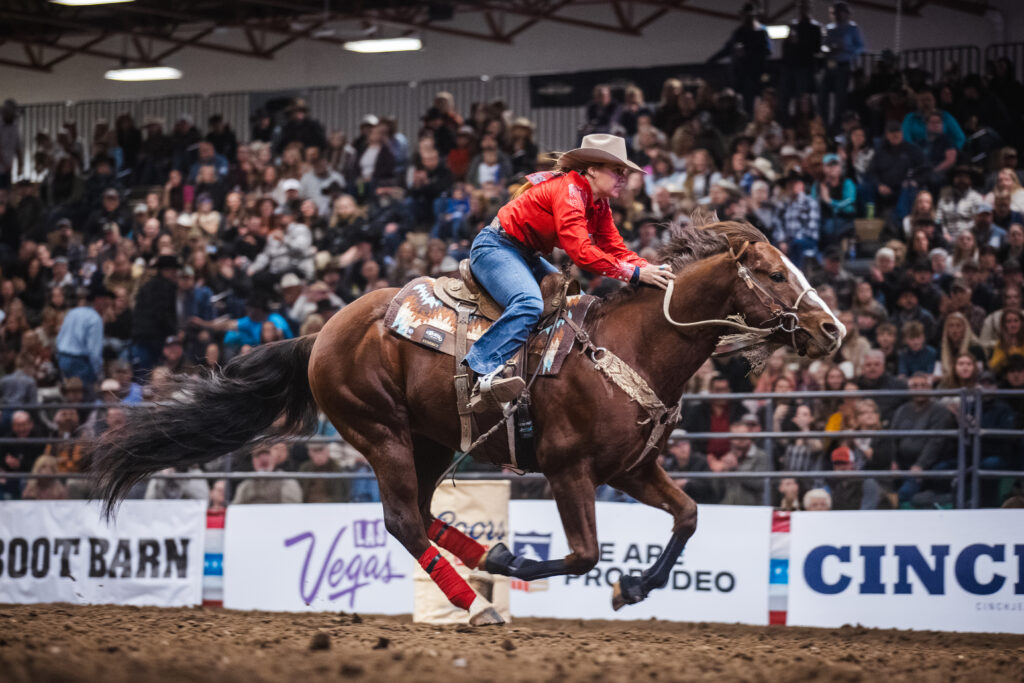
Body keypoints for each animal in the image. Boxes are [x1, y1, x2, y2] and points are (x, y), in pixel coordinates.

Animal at [90, 219, 844, 625]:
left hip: (424, 442)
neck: (630, 347)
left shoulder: (632, 468)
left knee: (422, 516)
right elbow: (582, 553)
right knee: (403, 521)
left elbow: (687, 516)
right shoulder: (569, 469)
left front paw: (632, 587)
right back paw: (478, 600)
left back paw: (482, 563)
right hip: (382, 434)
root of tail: (322, 334)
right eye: (775, 273)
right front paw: (528, 565)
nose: (832, 329)